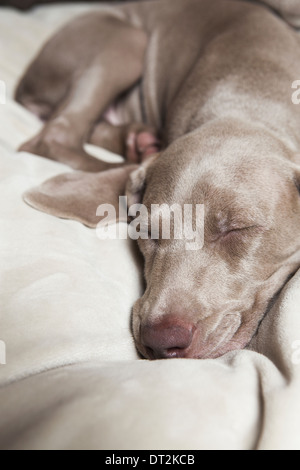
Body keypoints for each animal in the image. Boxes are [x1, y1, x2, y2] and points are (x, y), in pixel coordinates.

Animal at [17, 0, 300, 358]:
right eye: (145, 230)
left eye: (239, 229)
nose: (162, 342)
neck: (246, 104)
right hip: (125, 39)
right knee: (54, 134)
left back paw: (138, 140)